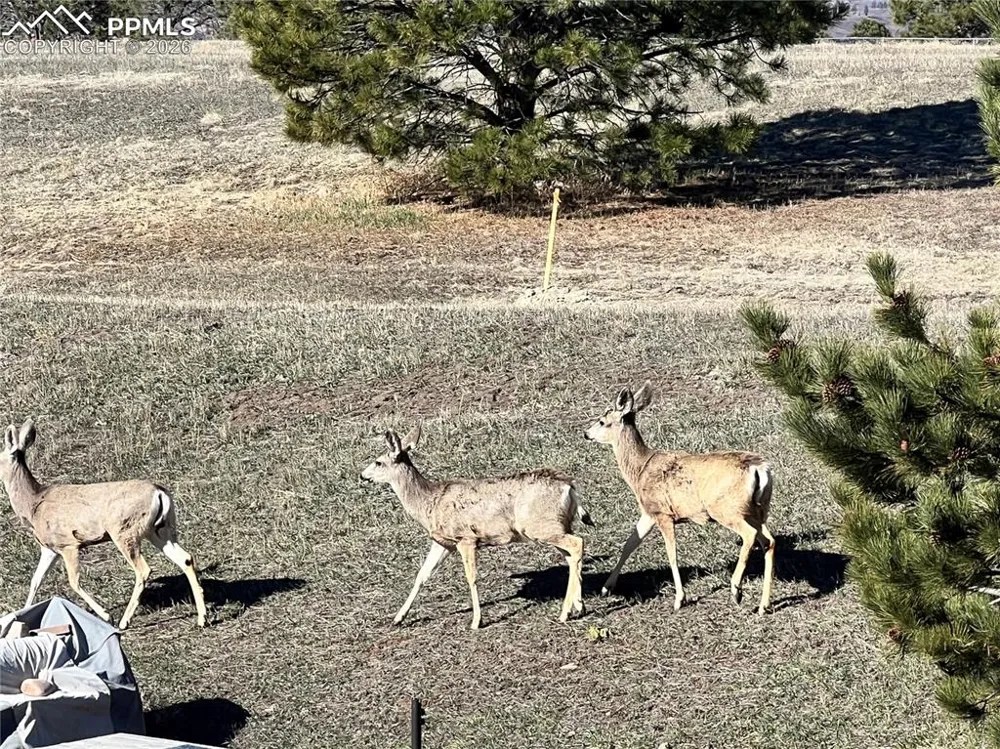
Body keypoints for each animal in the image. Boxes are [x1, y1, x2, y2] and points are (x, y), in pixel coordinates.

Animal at [0, 419, 207, 630]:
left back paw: (124, 621)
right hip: (160, 530)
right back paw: (202, 618)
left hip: (124, 531)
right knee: (185, 558)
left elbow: (73, 581)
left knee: (143, 570)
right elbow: (36, 580)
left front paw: (106, 615)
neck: (33, 504)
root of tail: (159, 492)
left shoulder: (68, 544)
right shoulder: (50, 548)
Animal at [360, 425, 594, 630]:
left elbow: (471, 577)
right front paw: (398, 618)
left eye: (378, 462)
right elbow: (422, 575)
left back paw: (565, 613)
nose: (362, 475)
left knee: (577, 544)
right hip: (557, 525)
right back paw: (579, 606)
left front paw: (476, 621)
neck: (429, 503)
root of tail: (569, 487)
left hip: (541, 526)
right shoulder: (443, 542)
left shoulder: (466, 539)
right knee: (571, 555)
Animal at [584, 381, 776, 615]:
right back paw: (763, 604)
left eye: (602, 421)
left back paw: (736, 590)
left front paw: (679, 599)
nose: (586, 433)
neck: (639, 470)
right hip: (758, 510)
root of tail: (759, 468)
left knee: (750, 535)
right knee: (769, 541)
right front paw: (606, 587)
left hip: (727, 509)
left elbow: (671, 554)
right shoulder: (649, 512)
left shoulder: (663, 513)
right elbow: (630, 543)